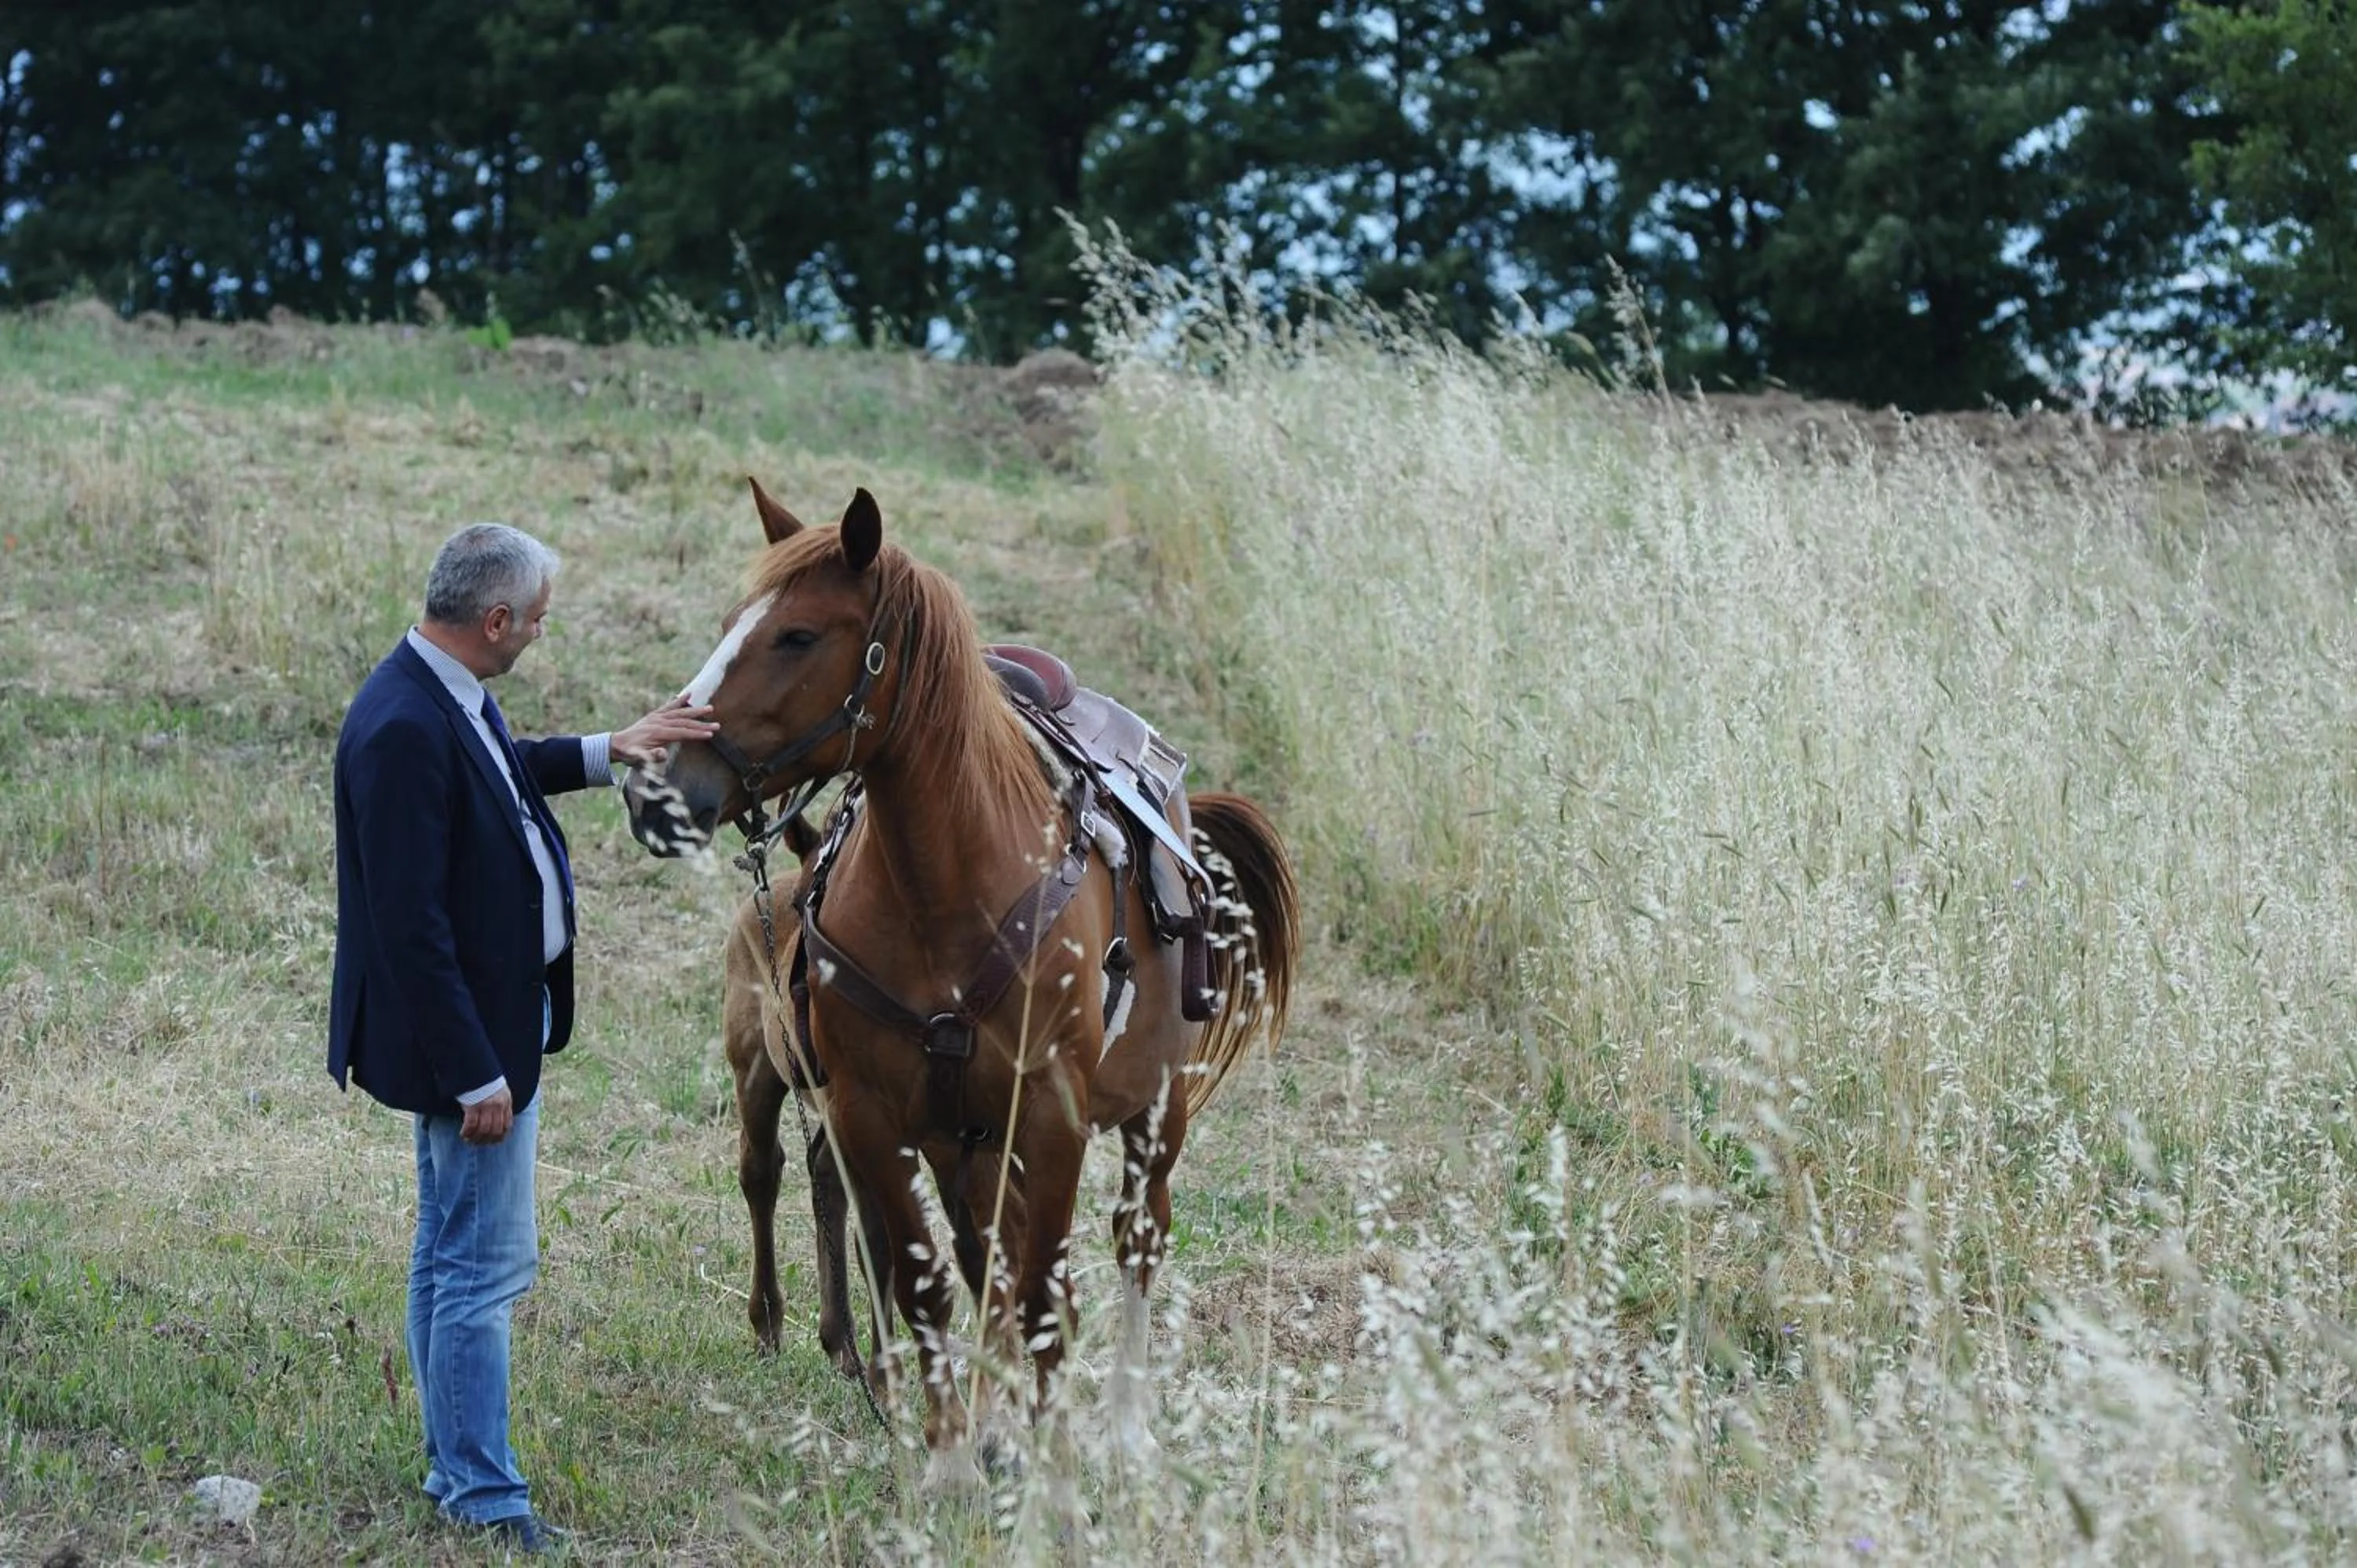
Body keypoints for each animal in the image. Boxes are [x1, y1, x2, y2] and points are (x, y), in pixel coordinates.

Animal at [623, 478, 1300, 1481]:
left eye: (797, 636)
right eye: (727, 625)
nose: (654, 789)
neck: (947, 885)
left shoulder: (1054, 1117)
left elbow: (1048, 1294)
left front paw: (1054, 1458)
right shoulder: (875, 1118)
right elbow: (928, 1284)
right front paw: (952, 1453)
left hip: (1153, 1111)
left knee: (1134, 1238)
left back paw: (1122, 1427)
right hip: (963, 1142)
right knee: (986, 1257)